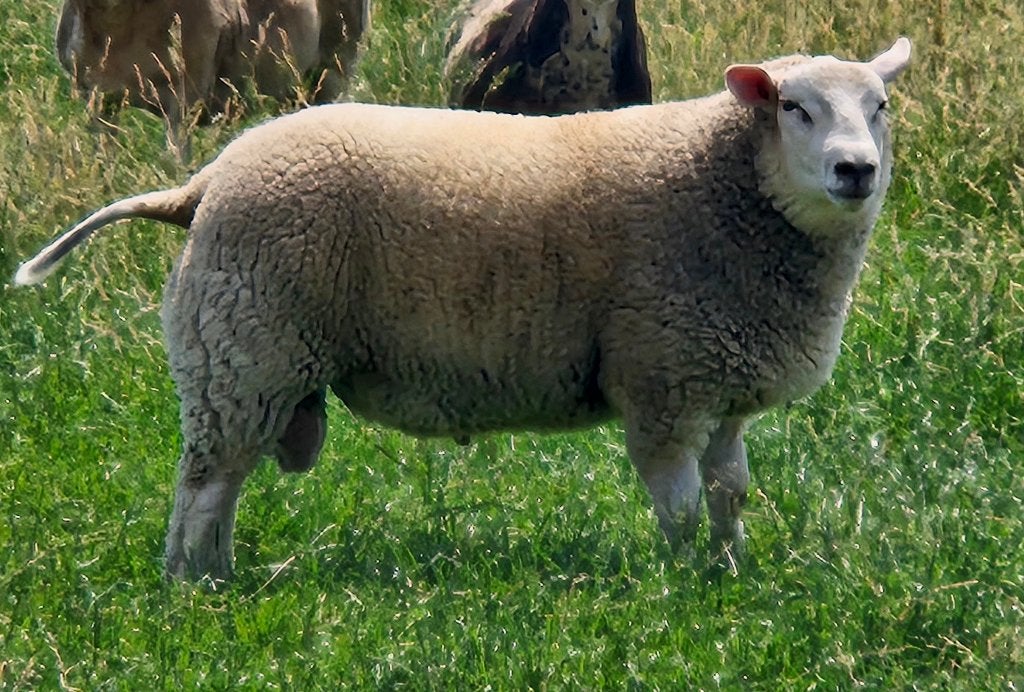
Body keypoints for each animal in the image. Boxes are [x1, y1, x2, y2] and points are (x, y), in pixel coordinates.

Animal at [16, 38, 912, 581]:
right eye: (795, 107)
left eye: (880, 108)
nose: (855, 170)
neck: (728, 185)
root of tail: (202, 184)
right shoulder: (663, 378)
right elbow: (684, 505)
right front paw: (682, 583)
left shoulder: (718, 383)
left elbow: (730, 495)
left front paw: (729, 573)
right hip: (247, 346)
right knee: (204, 484)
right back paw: (197, 585)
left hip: (245, 353)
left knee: (219, 480)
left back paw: (211, 574)